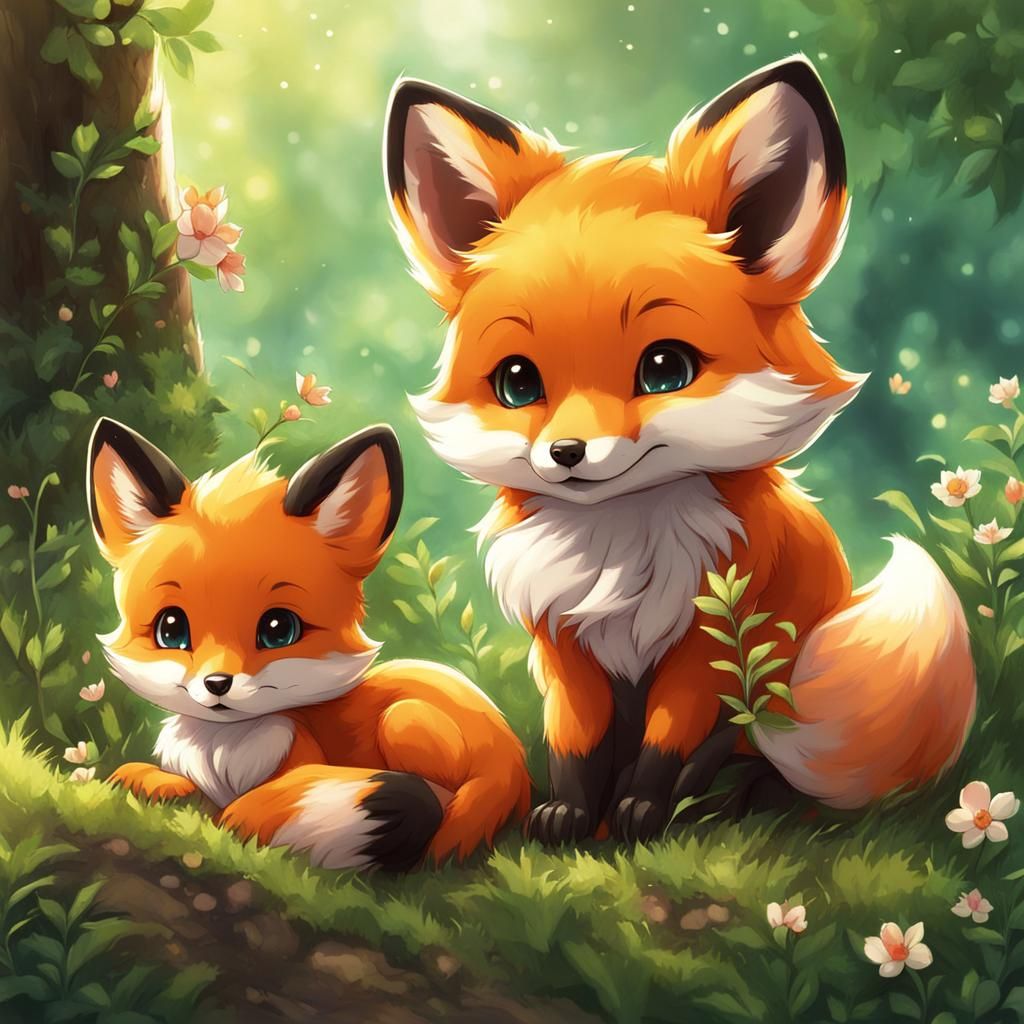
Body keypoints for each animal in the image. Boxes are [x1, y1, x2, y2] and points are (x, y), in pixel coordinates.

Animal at [86, 417, 529, 869]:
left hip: (404, 719)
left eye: (279, 629)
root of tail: (510, 755)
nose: (217, 684)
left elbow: (249, 809)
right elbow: (156, 780)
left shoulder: (300, 764)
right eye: (171, 630)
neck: (222, 753)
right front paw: (156, 784)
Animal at [382, 57, 977, 845]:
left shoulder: (711, 644)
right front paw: (573, 812)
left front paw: (641, 811)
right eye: (517, 382)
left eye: (665, 369)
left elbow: (668, 742)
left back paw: (736, 795)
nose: (566, 452)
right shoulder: (565, 644)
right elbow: (575, 743)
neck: (619, 543)